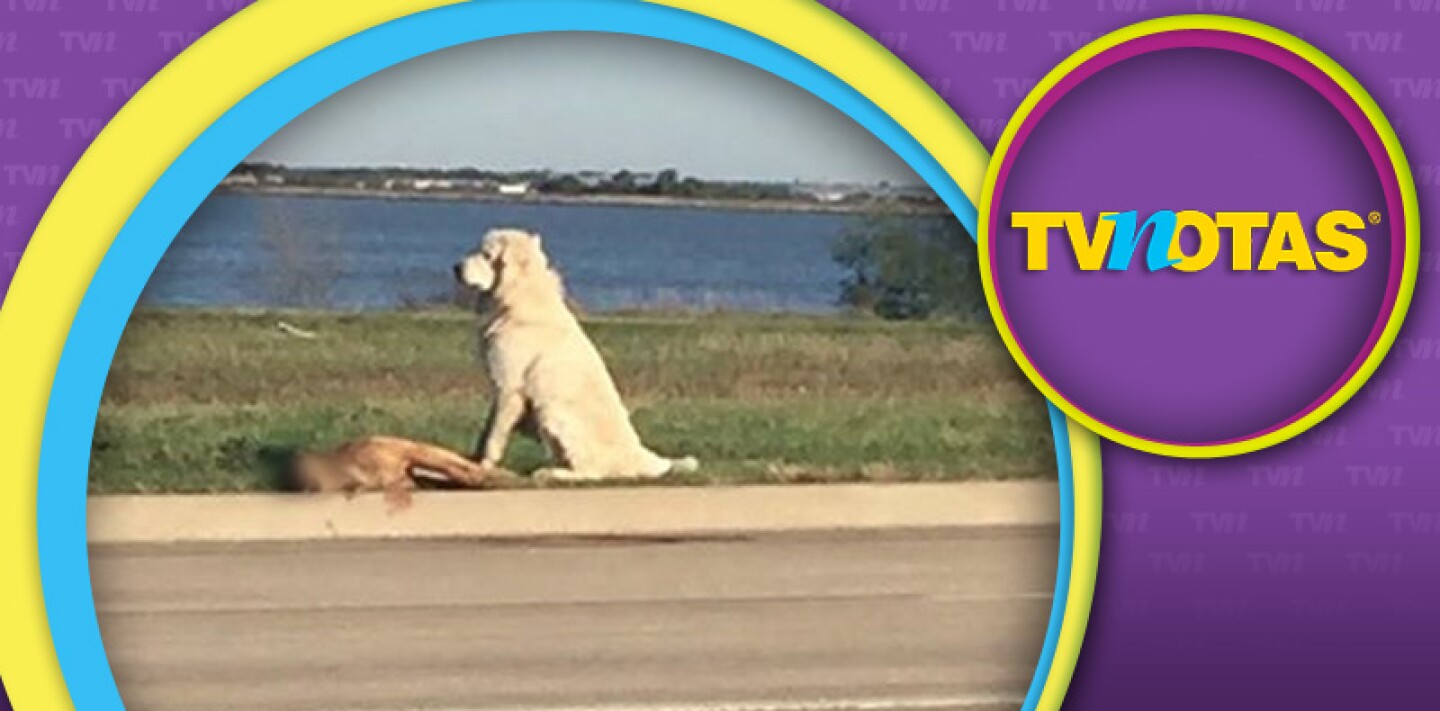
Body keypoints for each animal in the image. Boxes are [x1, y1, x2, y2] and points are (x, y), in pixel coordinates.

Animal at [449, 230, 696, 480]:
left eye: (486, 255)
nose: (456, 267)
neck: (519, 294)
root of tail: (641, 456)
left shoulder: (509, 388)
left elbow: (494, 437)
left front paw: (484, 467)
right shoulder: (500, 390)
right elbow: (486, 431)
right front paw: (470, 461)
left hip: (551, 411)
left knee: (590, 473)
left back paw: (551, 473)